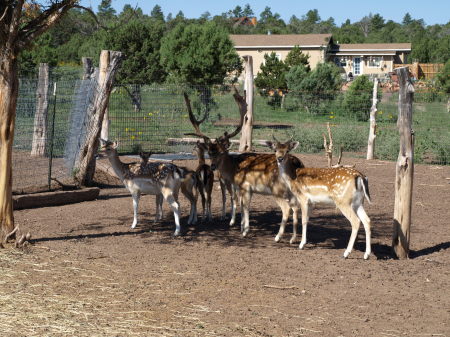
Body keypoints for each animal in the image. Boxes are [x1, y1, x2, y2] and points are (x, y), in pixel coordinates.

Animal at [184, 89, 306, 242]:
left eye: (222, 152)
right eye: (210, 152)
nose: (212, 167)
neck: (234, 169)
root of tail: (298, 164)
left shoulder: (245, 186)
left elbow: (245, 206)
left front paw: (244, 230)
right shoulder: (243, 188)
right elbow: (242, 205)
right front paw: (241, 226)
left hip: (278, 189)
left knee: (287, 208)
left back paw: (278, 237)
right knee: (297, 207)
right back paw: (294, 238)